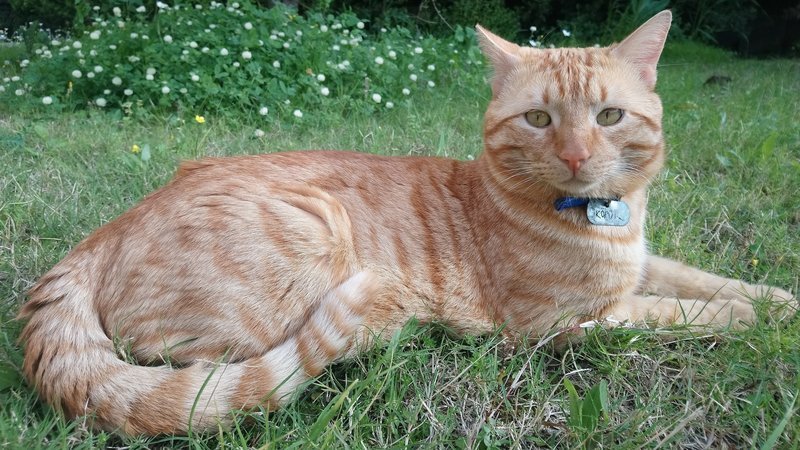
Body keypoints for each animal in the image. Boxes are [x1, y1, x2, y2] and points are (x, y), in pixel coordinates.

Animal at [18, 10, 794, 436]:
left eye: (608, 116)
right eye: (539, 120)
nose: (577, 156)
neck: (602, 220)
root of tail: (96, 239)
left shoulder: (639, 265)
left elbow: (701, 280)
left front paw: (776, 298)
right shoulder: (563, 323)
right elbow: (682, 313)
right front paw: (757, 319)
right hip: (311, 238)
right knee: (196, 365)